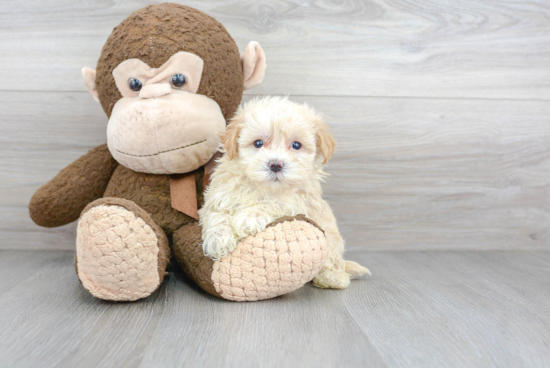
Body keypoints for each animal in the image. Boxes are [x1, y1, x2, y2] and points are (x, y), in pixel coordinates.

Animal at [198, 96, 370, 288]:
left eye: (296, 145)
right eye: (258, 143)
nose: (275, 165)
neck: (263, 187)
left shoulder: (299, 203)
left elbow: (275, 203)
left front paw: (249, 218)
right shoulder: (218, 196)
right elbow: (216, 214)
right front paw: (218, 240)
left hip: (331, 240)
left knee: (331, 260)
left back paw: (332, 277)